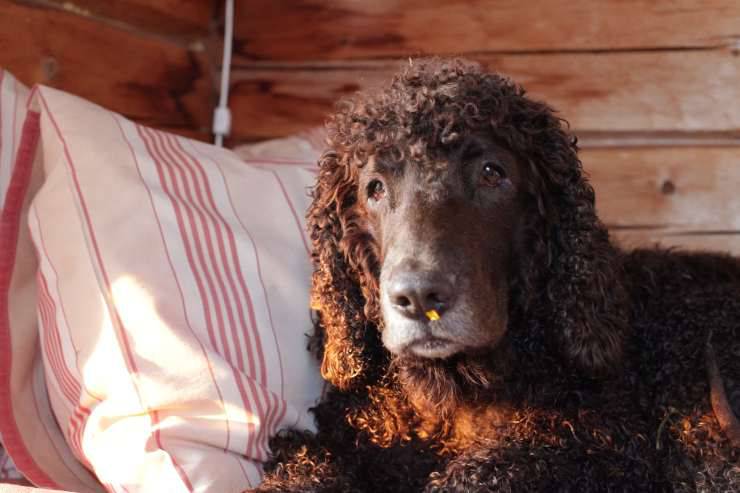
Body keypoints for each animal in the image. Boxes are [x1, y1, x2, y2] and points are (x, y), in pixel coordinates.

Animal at [253, 56, 736, 488]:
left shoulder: (597, 445)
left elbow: (482, 471)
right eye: (374, 188)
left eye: (492, 173)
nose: (419, 297)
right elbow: (307, 466)